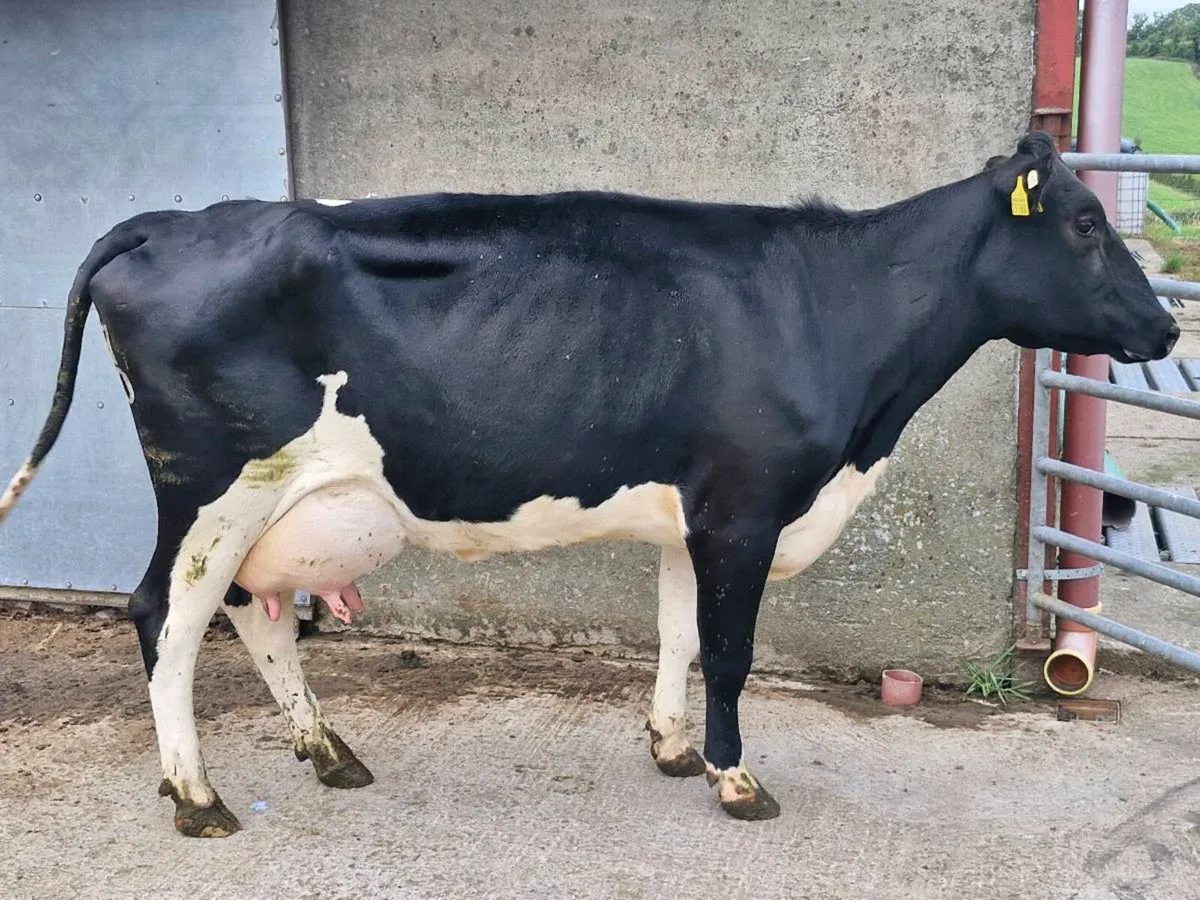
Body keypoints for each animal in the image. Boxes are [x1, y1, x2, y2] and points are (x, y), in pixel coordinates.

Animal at [0, 132, 1178, 837]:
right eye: (1083, 223)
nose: (1167, 329)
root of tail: (173, 219)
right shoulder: (746, 508)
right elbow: (733, 652)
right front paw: (735, 777)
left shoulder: (691, 515)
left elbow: (679, 637)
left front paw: (670, 749)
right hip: (210, 486)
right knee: (165, 614)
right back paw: (197, 795)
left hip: (269, 505)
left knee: (253, 612)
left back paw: (328, 751)